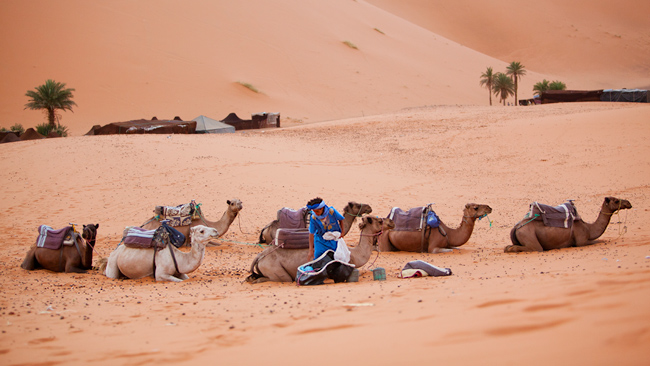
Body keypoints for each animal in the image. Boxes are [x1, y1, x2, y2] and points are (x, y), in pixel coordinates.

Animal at [246, 216, 392, 284]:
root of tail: (260, 256)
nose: (391, 222)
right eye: (379, 221)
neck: (355, 253)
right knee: (281, 278)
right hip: (273, 268)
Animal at [504, 196, 632, 253]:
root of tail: (516, 227)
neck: (588, 228)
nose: (628, 203)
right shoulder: (581, 241)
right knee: (535, 248)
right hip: (528, 235)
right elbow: (601, 240)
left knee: (509, 247)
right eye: (616, 200)